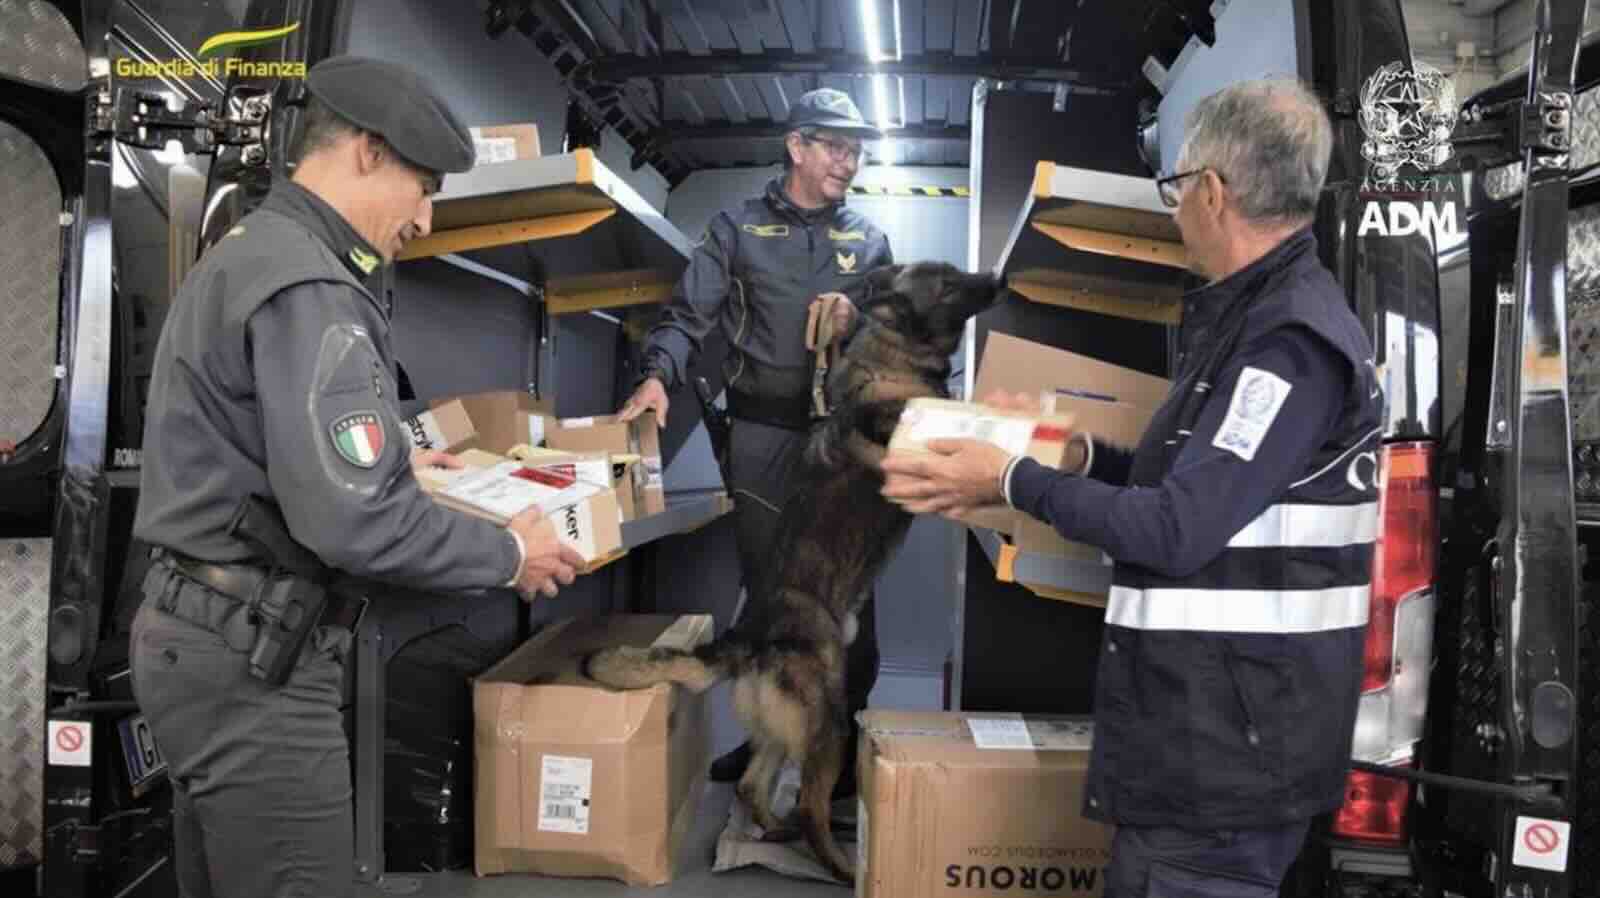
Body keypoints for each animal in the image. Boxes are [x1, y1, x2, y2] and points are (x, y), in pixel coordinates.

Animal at [582, 260, 992, 883]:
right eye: (947, 283)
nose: (995, 278)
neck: (897, 353)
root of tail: (746, 635)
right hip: (829, 722)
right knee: (806, 803)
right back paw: (841, 864)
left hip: (788, 728)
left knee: (754, 788)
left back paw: (776, 834)